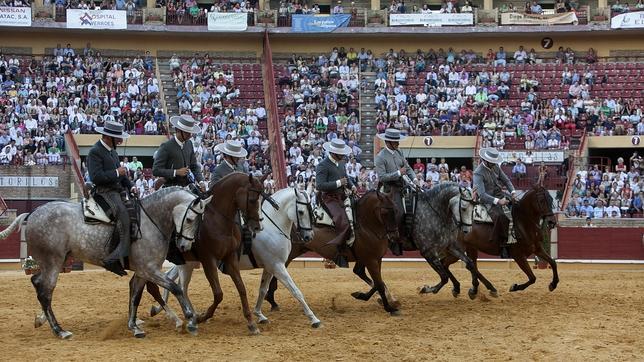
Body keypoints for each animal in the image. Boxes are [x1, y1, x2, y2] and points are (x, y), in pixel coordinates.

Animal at [0, 187, 213, 340]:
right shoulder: (149, 269)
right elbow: (176, 288)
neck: (151, 221)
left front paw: (134, 327)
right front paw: (191, 321)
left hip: (54, 262)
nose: (185, 245)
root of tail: (31, 213)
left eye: (200, 220)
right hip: (53, 261)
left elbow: (135, 295)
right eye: (190, 218)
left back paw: (42, 321)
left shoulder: (144, 270)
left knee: (37, 282)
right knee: (45, 291)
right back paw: (59, 330)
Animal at [152, 187, 322, 328]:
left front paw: (259, 315)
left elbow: (262, 289)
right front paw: (313, 319)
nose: (309, 236)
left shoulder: (270, 266)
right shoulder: (277, 266)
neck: (272, 227)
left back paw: (164, 311)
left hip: (190, 263)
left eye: (312, 210)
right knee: (179, 285)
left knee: (170, 278)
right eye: (301, 211)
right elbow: (295, 291)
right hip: (187, 265)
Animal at [260, 189, 400, 314]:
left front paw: (374, 298)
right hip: (286, 255)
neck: (367, 226)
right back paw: (271, 300)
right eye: (385, 212)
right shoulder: (370, 260)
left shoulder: (374, 259)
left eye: (396, 210)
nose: (394, 236)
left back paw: (272, 301)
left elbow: (376, 281)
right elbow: (379, 283)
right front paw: (389, 308)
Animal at [428, 184, 560, 296]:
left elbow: (553, 262)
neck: (523, 222)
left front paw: (553, 284)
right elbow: (532, 277)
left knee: (467, 265)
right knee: (450, 264)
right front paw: (514, 287)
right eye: (542, 201)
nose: (552, 222)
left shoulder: (537, 248)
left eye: (551, 200)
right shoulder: (518, 255)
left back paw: (472, 289)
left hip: (470, 248)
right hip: (457, 250)